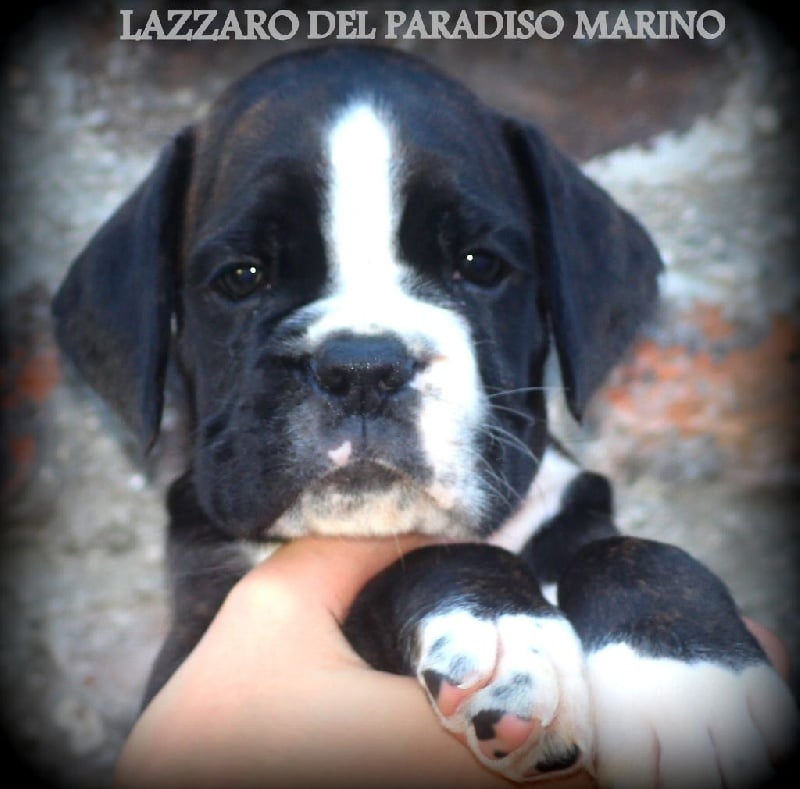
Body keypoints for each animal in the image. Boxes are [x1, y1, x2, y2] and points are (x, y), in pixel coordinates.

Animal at [52, 46, 796, 786]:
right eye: (241, 276)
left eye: (479, 264)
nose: (361, 367)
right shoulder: (198, 629)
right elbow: (415, 556)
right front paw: (505, 633)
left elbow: (632, 550)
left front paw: (689, 679)